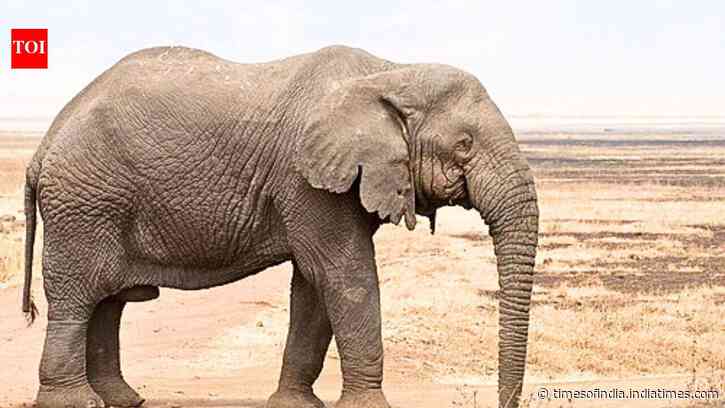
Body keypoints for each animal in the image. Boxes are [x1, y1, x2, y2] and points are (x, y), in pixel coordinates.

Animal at [22, 45, 539, 408]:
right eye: (465, 144)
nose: (499, 402)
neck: (390, 71)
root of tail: (45, 143)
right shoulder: (306, 179)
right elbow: (344, 275)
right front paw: (368, 407)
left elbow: (313, 286)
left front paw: (294, 404)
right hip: (85, 203)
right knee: (78, 297)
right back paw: (76, 402)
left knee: (108, 302)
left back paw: (122, 400)